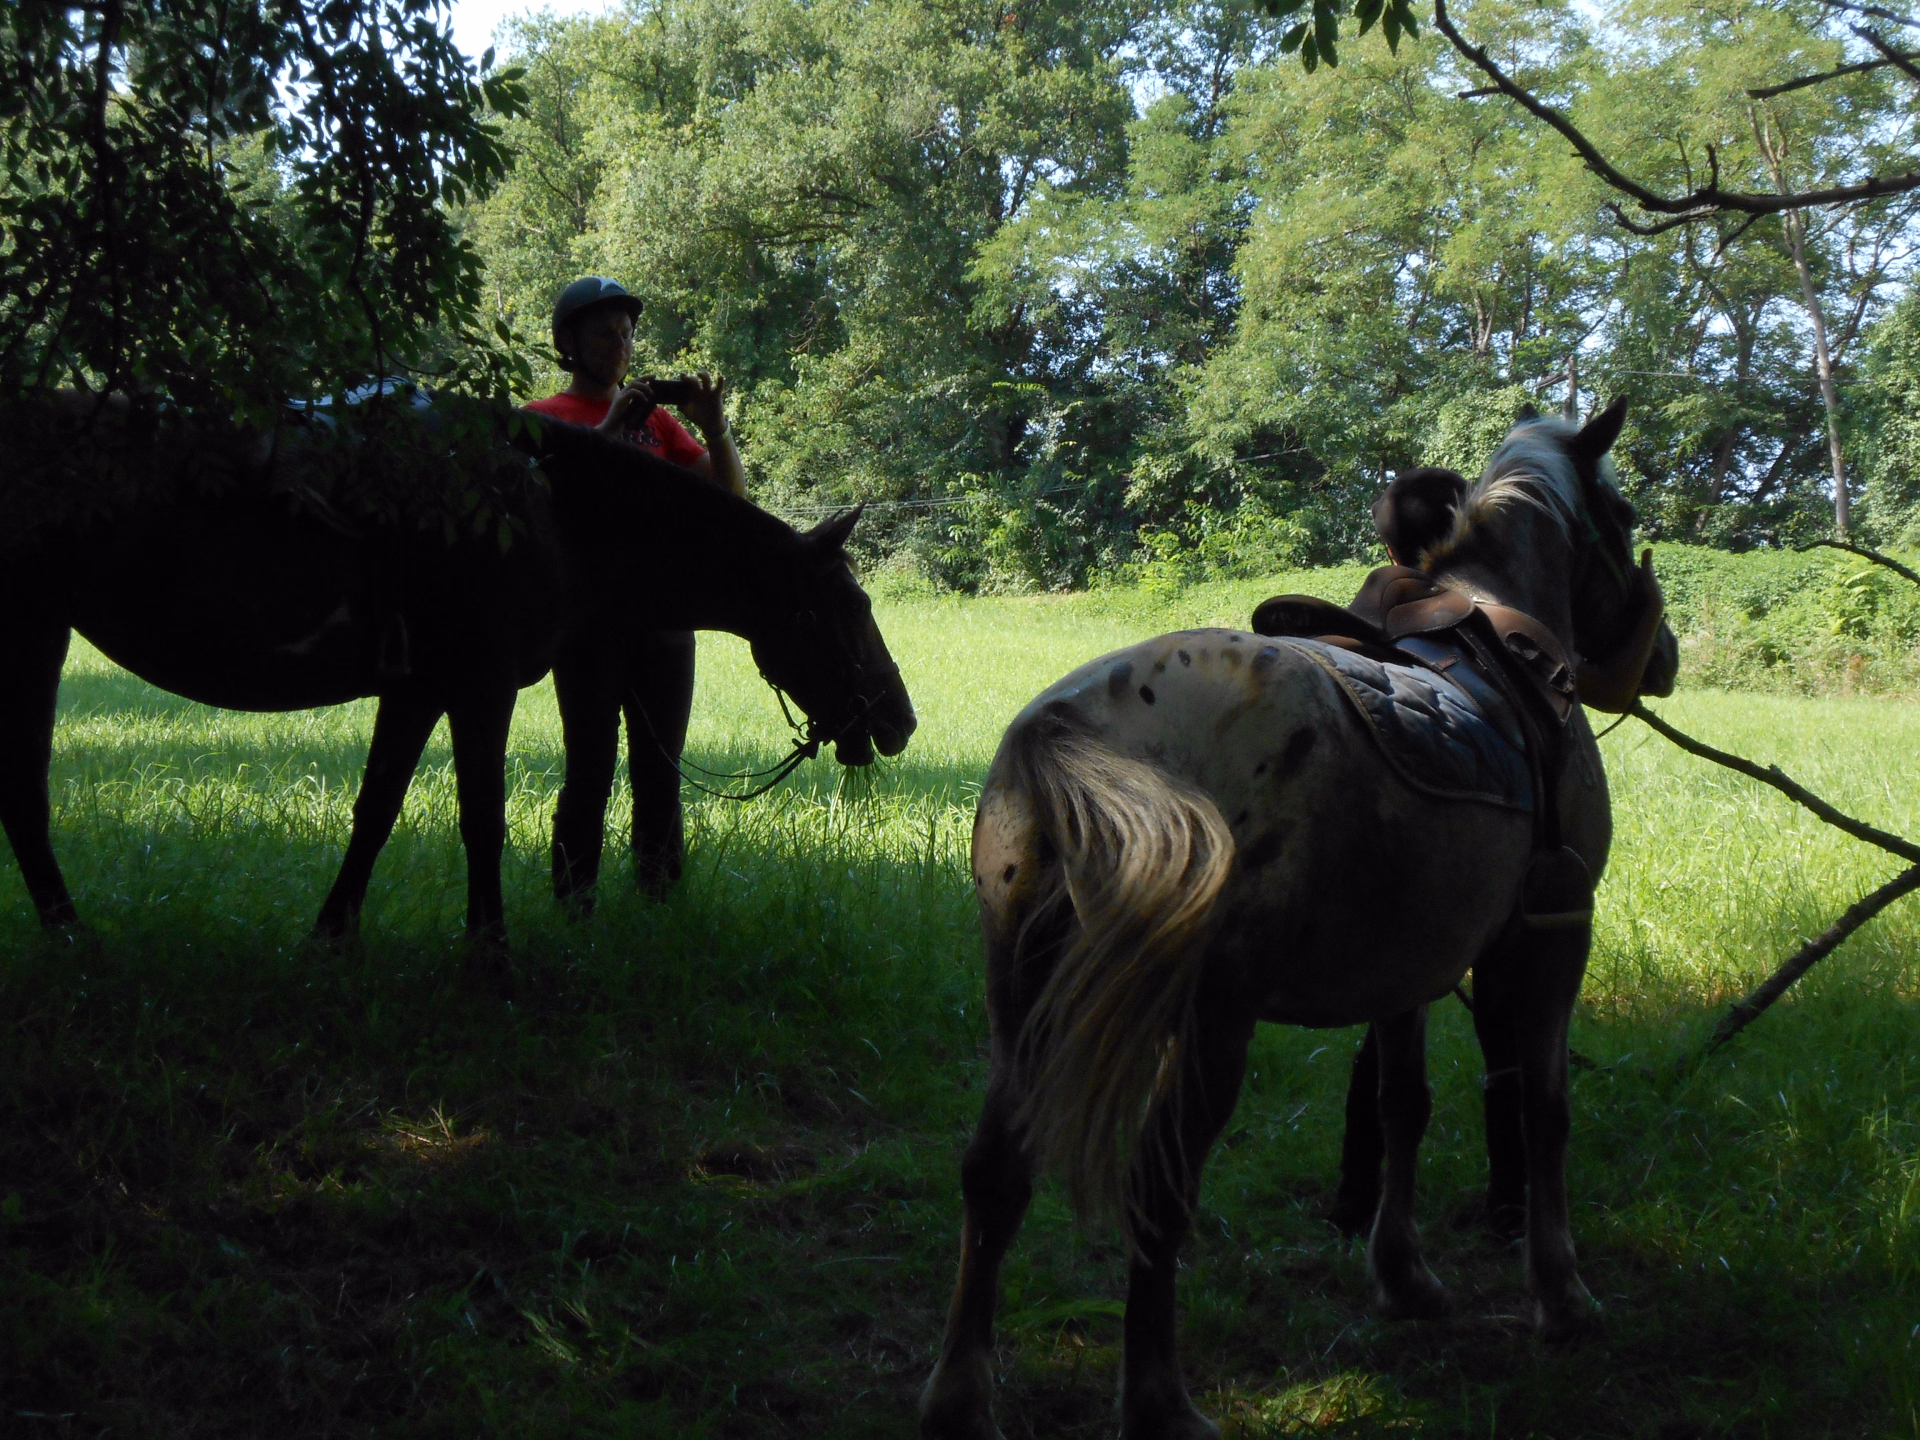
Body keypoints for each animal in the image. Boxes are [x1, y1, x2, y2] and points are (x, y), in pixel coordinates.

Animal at [0, 392, 915, 944]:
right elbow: (482, 821)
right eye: (851, 605)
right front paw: (489, 956)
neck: (546, 510)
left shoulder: (416, 692)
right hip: (29, 633)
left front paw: (332, 938)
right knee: (25, 802)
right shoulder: (478, 688)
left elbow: (374, 813)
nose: (899, 718)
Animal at [921, 401, 1678, 1440]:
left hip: (1024, 996)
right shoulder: (1554, 933)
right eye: (1625, 510)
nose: (1667, 655)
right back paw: (1160, 1402)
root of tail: (1069, 729)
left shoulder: (1411, 966)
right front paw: (1560, 1295)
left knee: (994, 1171)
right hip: (1209, 1021)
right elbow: (1542, 1110)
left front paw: (1403, 1277)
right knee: (1157, 1189)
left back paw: (961, 1397)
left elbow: (1402, 1106)